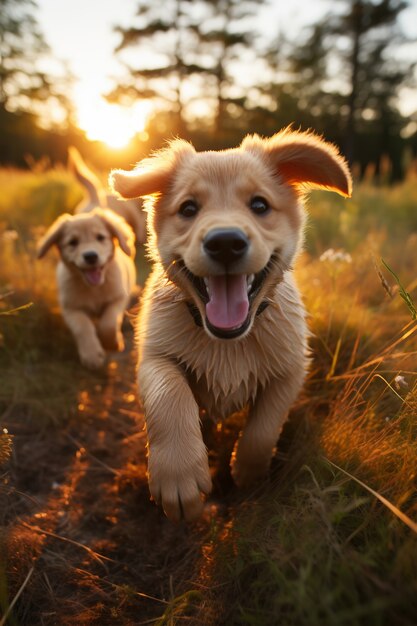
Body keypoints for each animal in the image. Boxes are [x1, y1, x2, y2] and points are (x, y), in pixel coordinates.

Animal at [37, 207, 135, 368]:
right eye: (73, 242)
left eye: (100, 237)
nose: (90, 256)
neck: (93, 287)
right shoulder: (71, 308)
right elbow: (82, 327)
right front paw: (92, 355)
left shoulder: (119, 298)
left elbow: (109, 323)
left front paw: (112, 344)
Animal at [109, 128, 352, 520]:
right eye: (188, 209)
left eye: (260, 205)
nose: (225, 242)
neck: (228, 340)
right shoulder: (154, 356)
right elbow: (169, 394)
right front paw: (178, 474)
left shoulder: (291, 369)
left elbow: (264, 427)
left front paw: (248, 473)